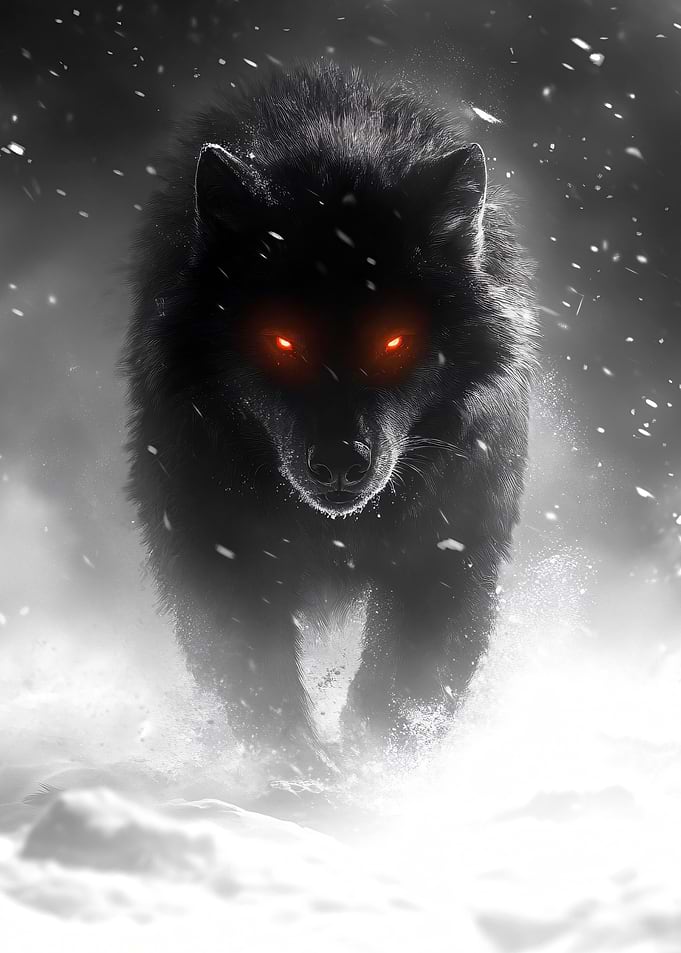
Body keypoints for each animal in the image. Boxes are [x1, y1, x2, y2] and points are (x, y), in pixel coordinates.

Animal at [121, 63, 537, 758]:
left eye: (394, 341)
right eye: (282, 341)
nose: (340, 463)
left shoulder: (449, 549)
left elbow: (403, 694)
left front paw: (370, 771)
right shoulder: (213, 548)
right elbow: (258, 685)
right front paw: (301, 770)